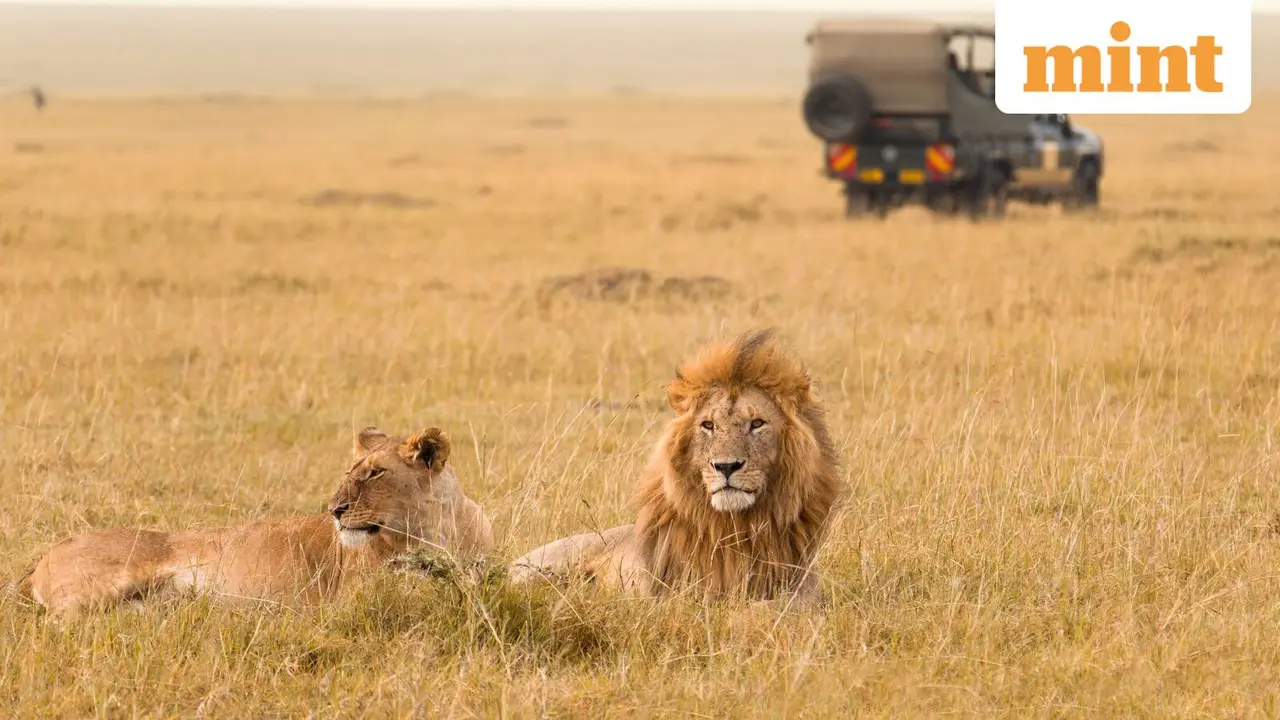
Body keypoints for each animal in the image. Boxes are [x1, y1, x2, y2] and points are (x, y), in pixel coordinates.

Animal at [18, 425, 493, 620]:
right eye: (351, 470)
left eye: (375, 473)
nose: (334, 510)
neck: (438, 530)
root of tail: (40, 561)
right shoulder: (353, 599)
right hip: (100, 587)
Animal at [508, 329, 842, 605]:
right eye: (708, 425)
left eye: (757, 424)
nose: (726, 466)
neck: (735, 527)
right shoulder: (667, 595)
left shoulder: (802, 590)